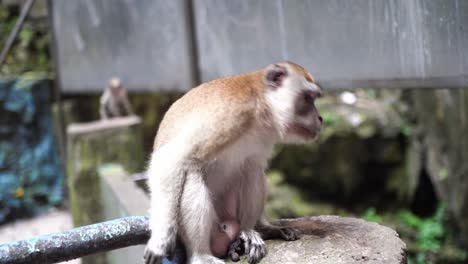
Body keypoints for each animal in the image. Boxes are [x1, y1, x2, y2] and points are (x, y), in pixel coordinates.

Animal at [144, 62, 324, 264]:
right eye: (308, 98)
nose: (320, 118)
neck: (261, 108)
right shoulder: (228, 113)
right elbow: (170, 159)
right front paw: (160, 239)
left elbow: (253, 164)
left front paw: (266, 227)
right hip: (215, 231)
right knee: (192, 171)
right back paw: (200, 255)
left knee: (252, 169)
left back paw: (251, 230)